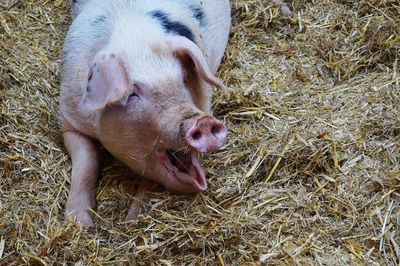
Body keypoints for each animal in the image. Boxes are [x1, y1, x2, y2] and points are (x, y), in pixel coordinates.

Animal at [61, 0, 233, 225]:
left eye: (184, 79)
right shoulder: (69, 118)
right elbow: (86, 162)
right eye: (132, 94)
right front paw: (80, 224)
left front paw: (132, 220)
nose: (203, 122)